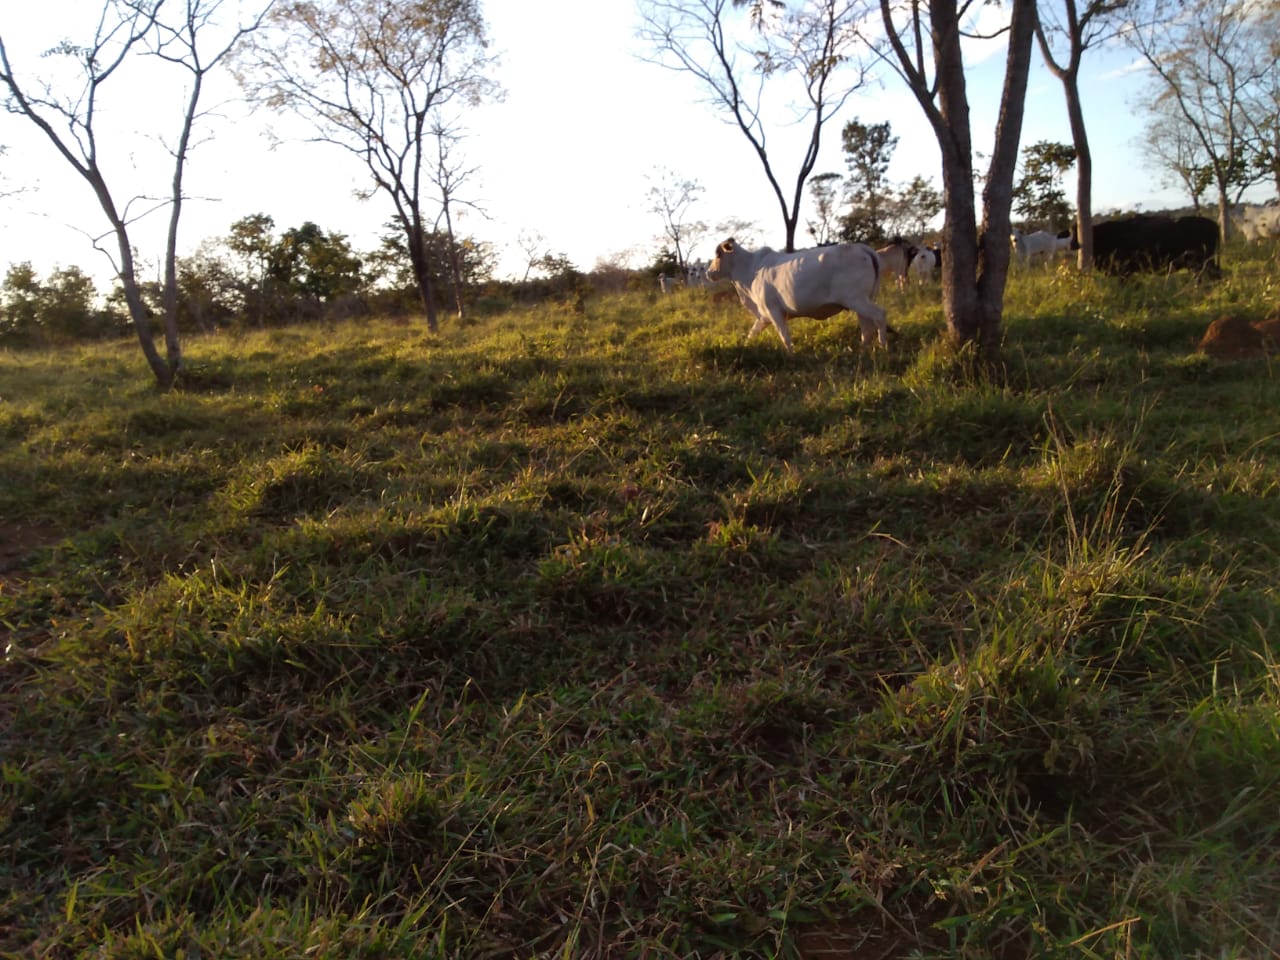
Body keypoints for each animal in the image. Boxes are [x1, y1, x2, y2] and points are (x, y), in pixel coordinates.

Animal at [701, 239, 890, 350]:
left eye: (718, 254)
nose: (708, 273)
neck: (749, 270)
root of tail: (862, 248)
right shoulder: (764, 316)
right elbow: (752, 333)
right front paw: (746, 346)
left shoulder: (774, 311)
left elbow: (785, 337)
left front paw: (790, 355)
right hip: (861, 301)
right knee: (867, 328)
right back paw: (863, 350)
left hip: (856, 300)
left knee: (879, 315)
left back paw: (883, 346)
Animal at [1070, 216, 1218, 280]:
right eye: (1071, 232)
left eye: (1077, 232)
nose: (1072, 245)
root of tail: (1213, 223)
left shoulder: (1125, 270)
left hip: (1202, 261)